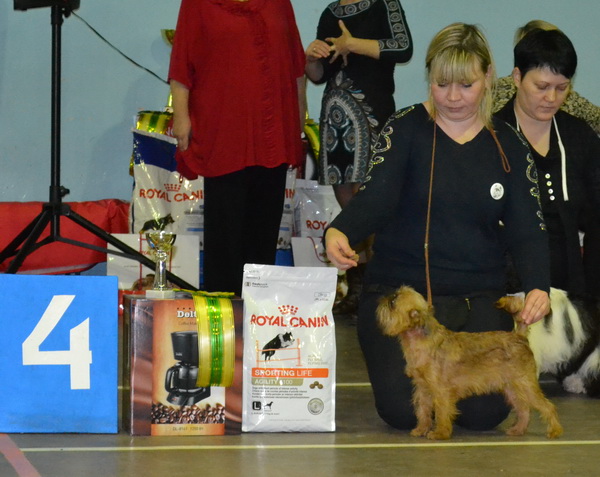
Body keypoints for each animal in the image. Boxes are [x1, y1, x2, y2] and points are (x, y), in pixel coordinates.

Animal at [377, 285, 563, 440]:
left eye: (393, 302)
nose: (383, 297)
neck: (422, 338)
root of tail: (519, 336)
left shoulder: (440, 391)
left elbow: (442, 412)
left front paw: (440, 433)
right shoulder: (423, 388)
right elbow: (423, 410)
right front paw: (421, 429)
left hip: (525, 384)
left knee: (547, 406)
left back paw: (554, 430)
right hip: (512, 388)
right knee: (523, 409)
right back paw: (518, 430)